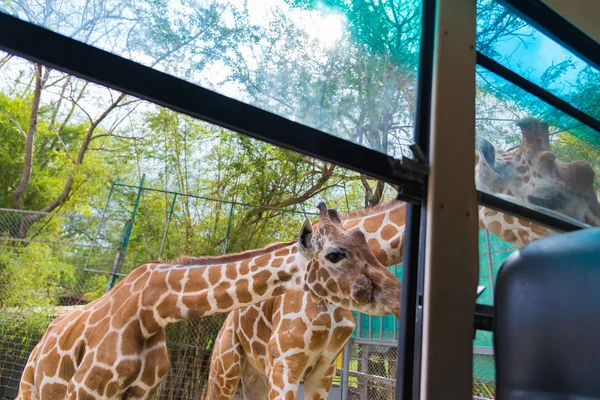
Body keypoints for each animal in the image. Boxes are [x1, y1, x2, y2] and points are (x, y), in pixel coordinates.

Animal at [16, 203, 400, 400]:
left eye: (365, 241)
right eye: (335, 254)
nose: (397, 295)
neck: (150, 311)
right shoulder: (85, 389)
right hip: (29, 386)